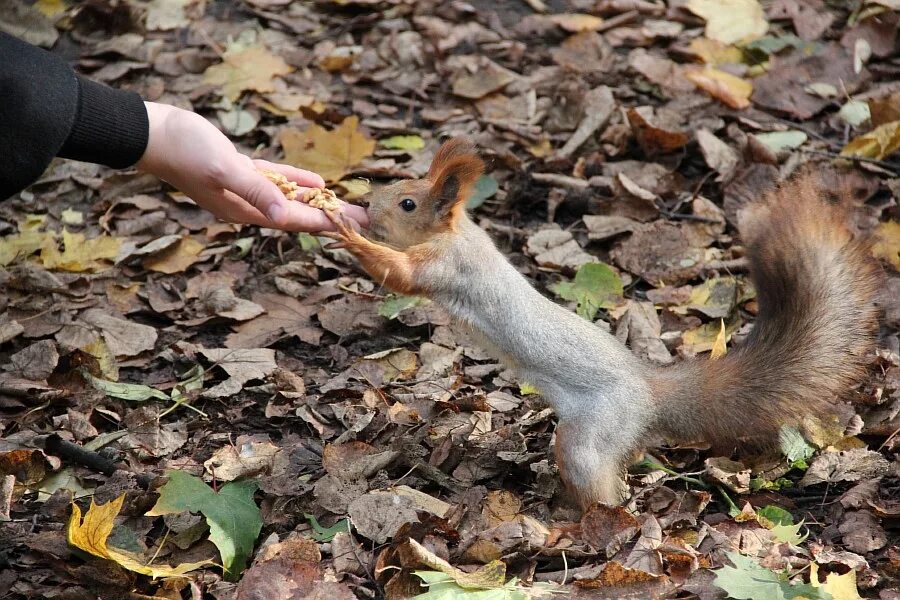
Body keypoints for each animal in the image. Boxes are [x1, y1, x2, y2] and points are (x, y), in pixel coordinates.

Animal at [322, 138, 880, 508]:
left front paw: (345, 232)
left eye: (408, 203)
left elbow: (402, 276)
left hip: (594, 433)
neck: (457, 233)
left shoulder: (447, 265)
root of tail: (649, 393)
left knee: (600, 485)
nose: (367, 207)